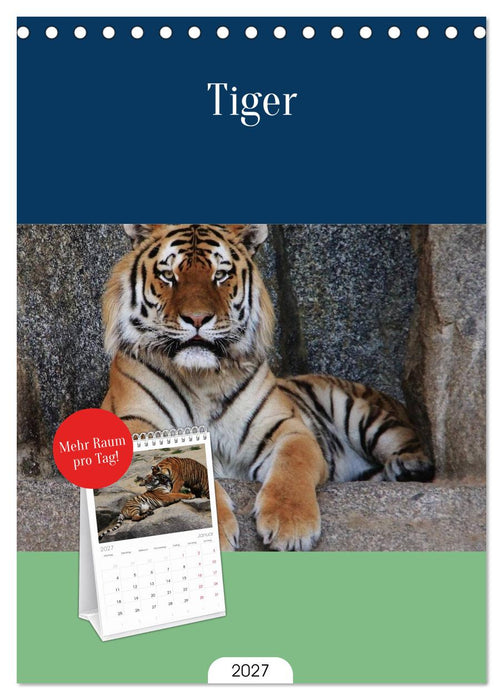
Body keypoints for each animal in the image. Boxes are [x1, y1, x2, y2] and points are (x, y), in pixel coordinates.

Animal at [101, 224, 433, 552]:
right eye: (168, 275)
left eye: (220, 275)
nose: (197, 318)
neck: (201, 377)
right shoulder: (137, 425)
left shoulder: (288, 427)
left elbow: (292, 465)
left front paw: (291, 525)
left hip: (357, 412)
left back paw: (407, 467)